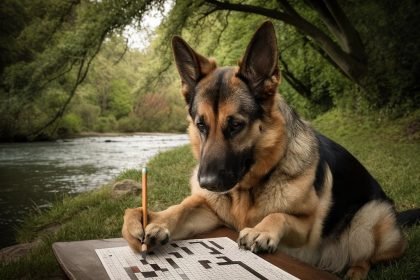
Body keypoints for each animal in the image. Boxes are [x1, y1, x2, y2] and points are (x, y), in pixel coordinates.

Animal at [123, 21, 418, 278]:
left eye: (235, 125)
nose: (206, 183)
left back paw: (355, 272)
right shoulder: (210, 213)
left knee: (368, 258)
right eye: (201, 125)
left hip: (368, 222)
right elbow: (181, 207)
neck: (246, 192)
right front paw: (149, 221)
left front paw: (260, 230)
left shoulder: (305, 229)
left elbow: (280, 214)